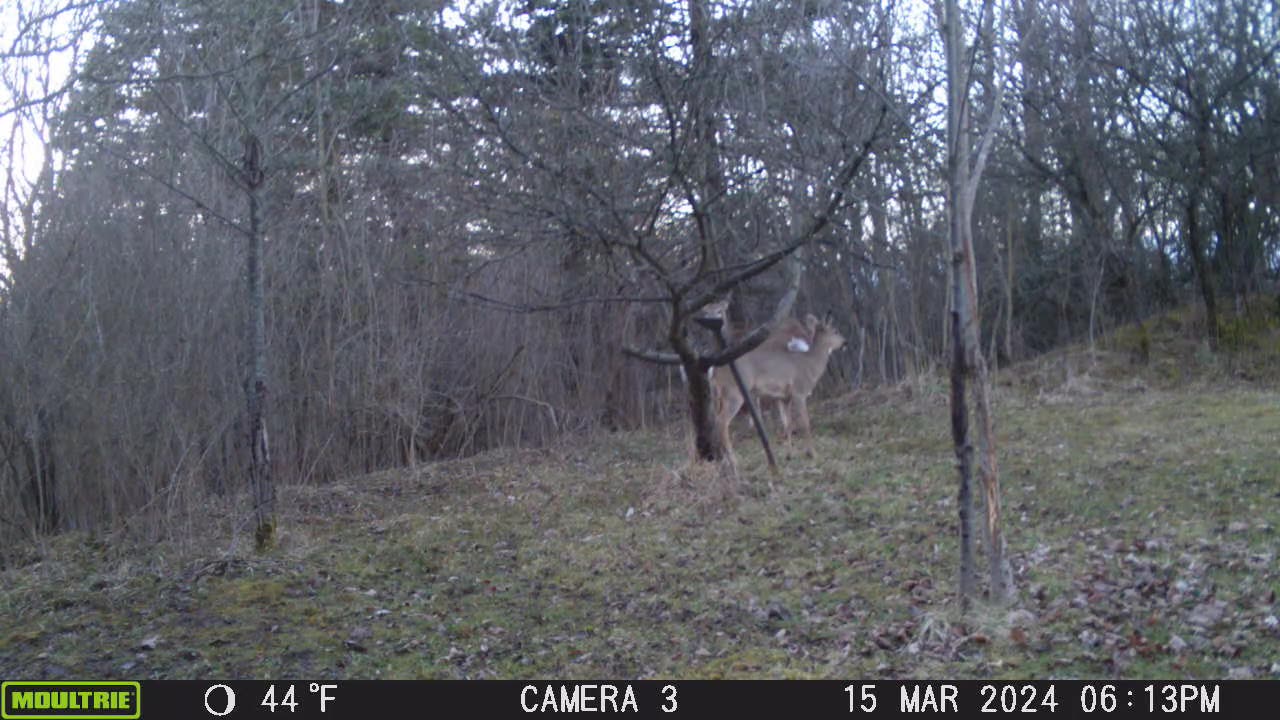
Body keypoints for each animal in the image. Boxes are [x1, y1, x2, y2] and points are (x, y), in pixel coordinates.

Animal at [716, 315, 844, 466]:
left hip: (722, 395)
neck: (810, 364)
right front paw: (812, 453)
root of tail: (714, 371)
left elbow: (787, 424)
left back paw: (725, 460)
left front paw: (789, 455)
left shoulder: (784, 397)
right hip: (734, 392)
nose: (845, 342)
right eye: (835, 331)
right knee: (722, 422)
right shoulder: (799, 392)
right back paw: (733, 460)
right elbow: (805, 423)